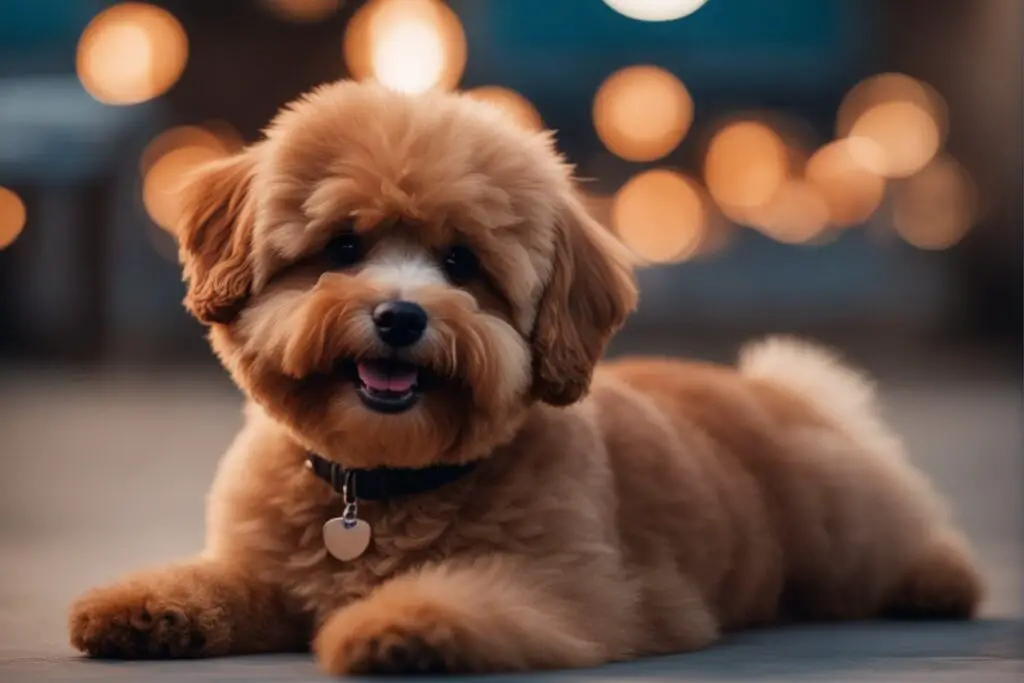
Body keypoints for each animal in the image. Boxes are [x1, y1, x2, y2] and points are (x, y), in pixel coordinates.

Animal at [66, 82, 983, 675]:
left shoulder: (579, 589)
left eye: (461, 262)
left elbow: (478, 599)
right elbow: (218, 581)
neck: (381, 486)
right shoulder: (266, 569)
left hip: (841, 523)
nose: (401, 316)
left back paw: (939, 579)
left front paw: (402, 626)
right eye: (344, 246)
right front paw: (143, 604)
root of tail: (775, 389)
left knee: (896, 540)